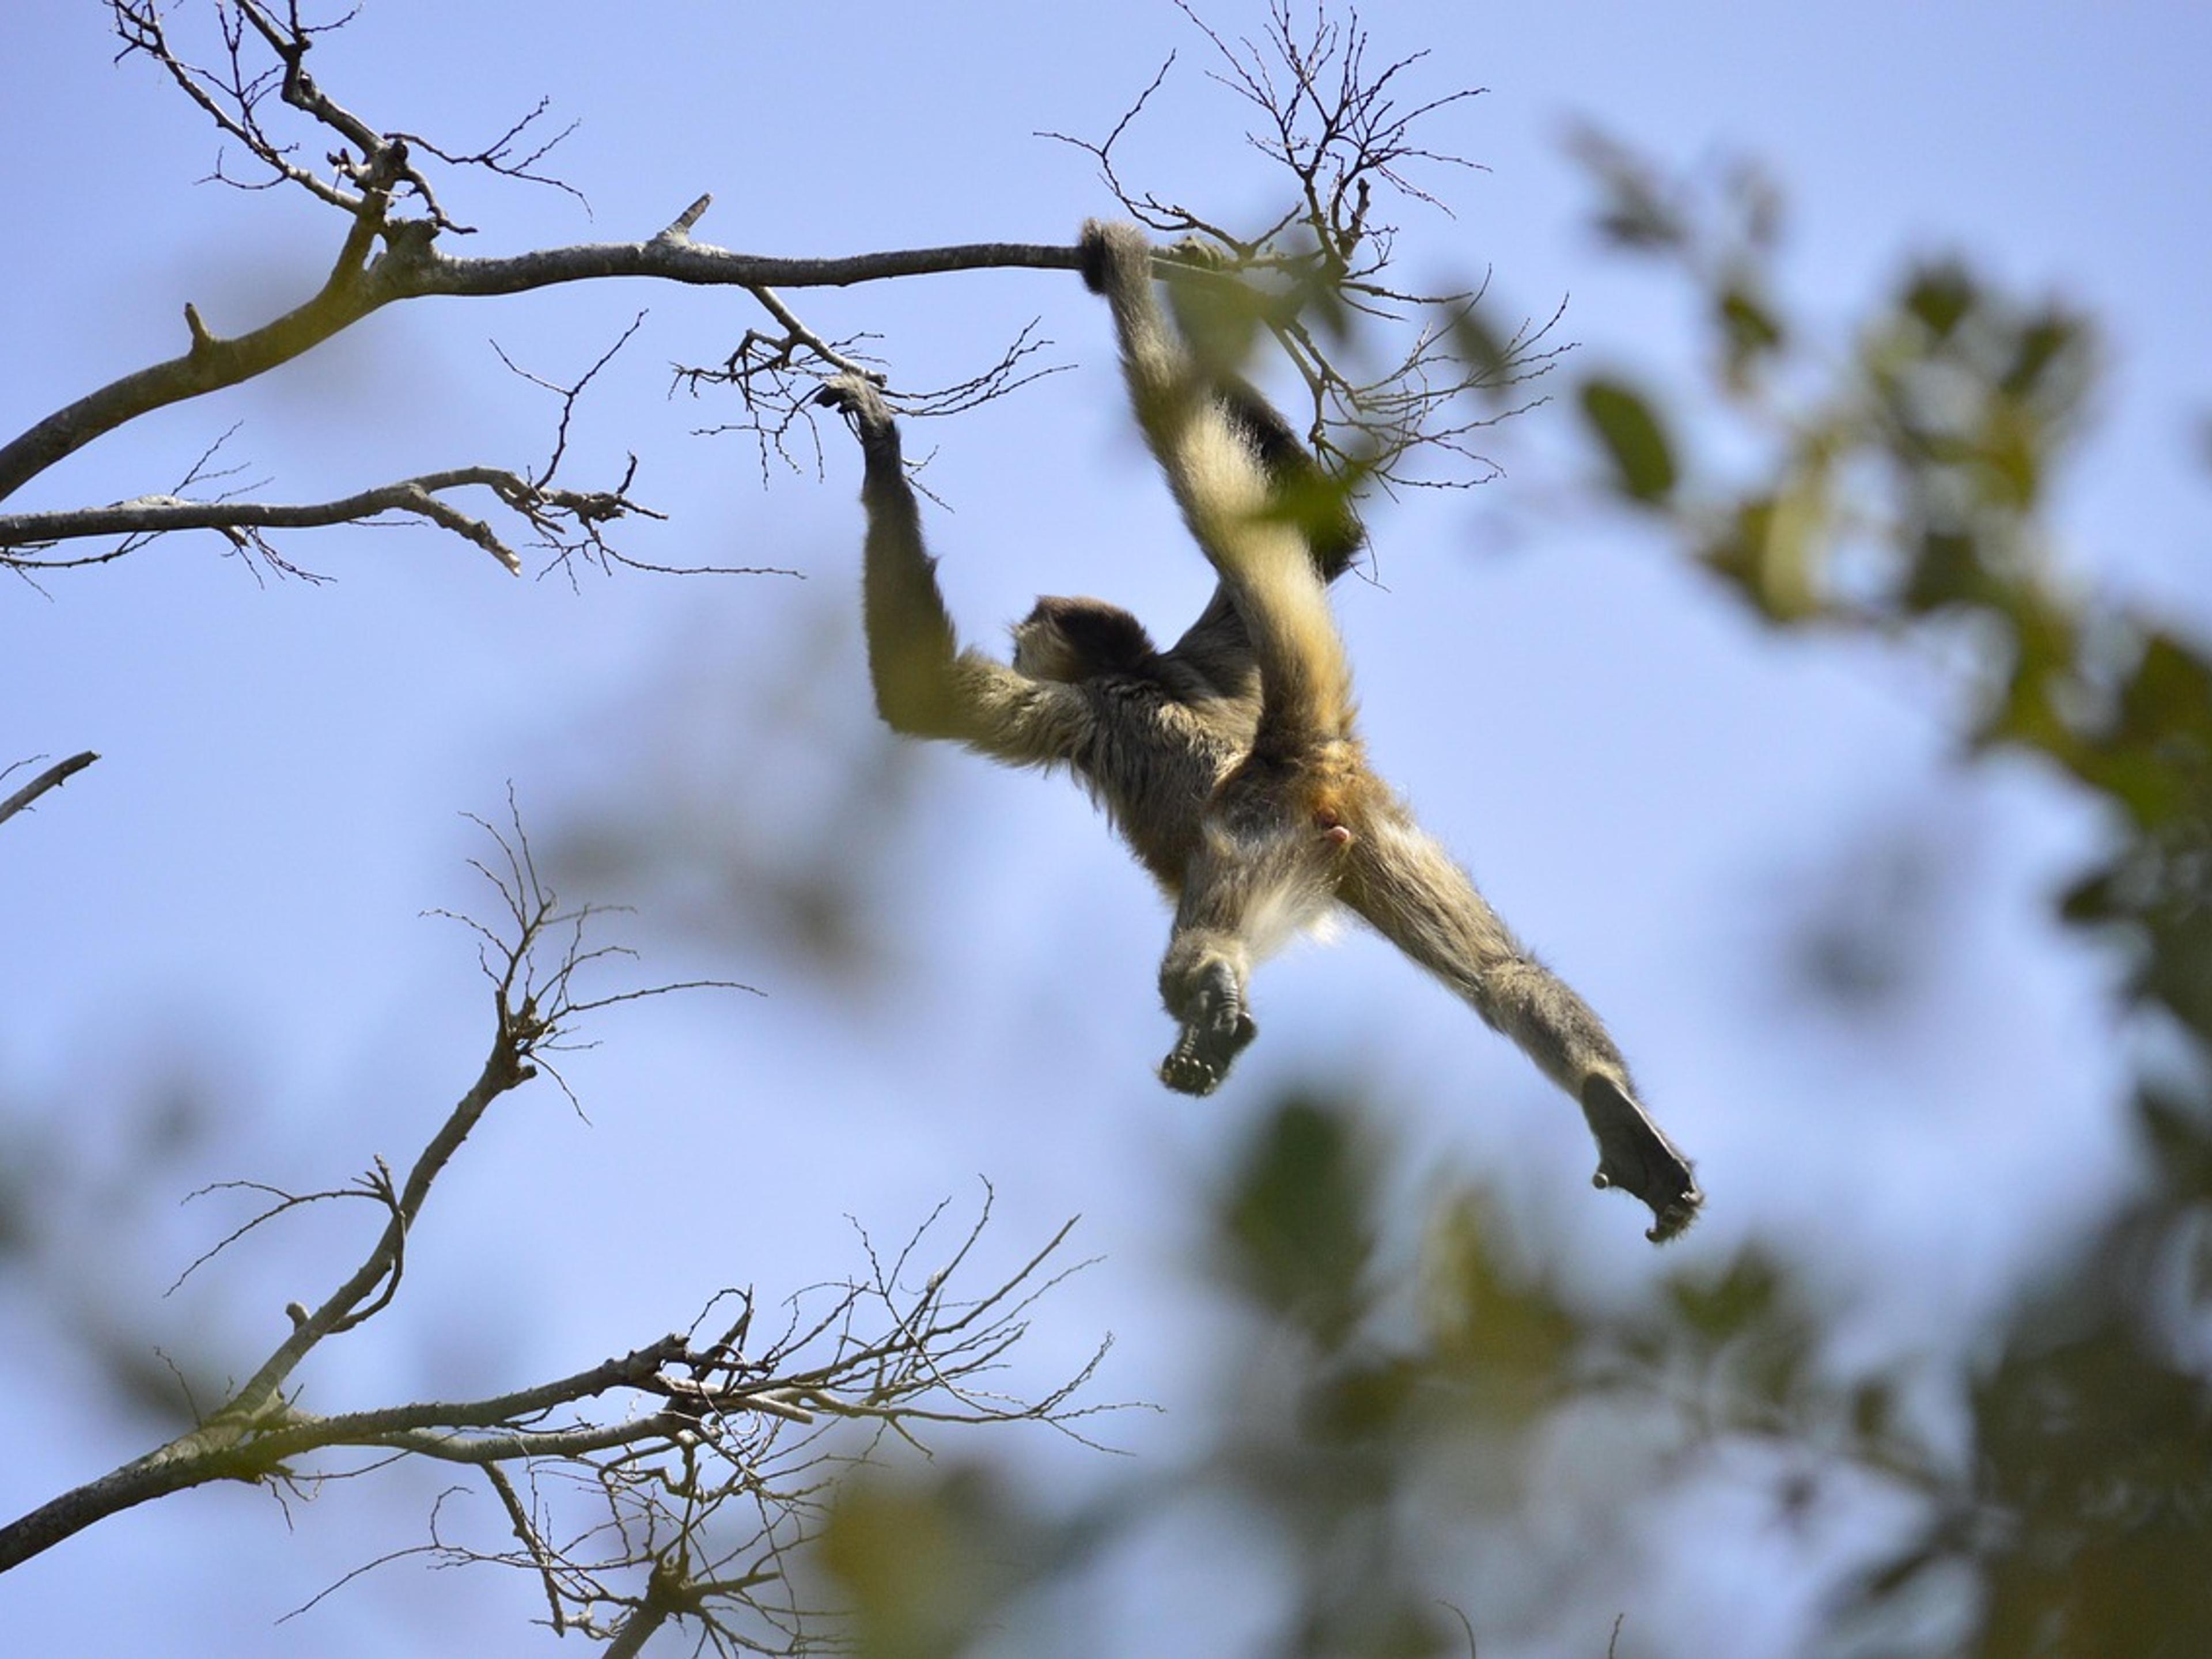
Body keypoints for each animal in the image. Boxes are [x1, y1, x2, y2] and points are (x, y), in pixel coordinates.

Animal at [814, 221, 1701, 1243]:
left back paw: (1213, 1007)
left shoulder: (1082, 713)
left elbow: (918, 697)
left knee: (1198, 948)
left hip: (1252, 836)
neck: (1154, 672)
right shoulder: (1215, 651)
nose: (1020, 641)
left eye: (1030, 640)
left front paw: (882, 438)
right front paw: (1202, 271)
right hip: (1373, 836)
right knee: (1501, 975)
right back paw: (1610, 1102)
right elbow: (1329, 537)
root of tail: (1287, 752)